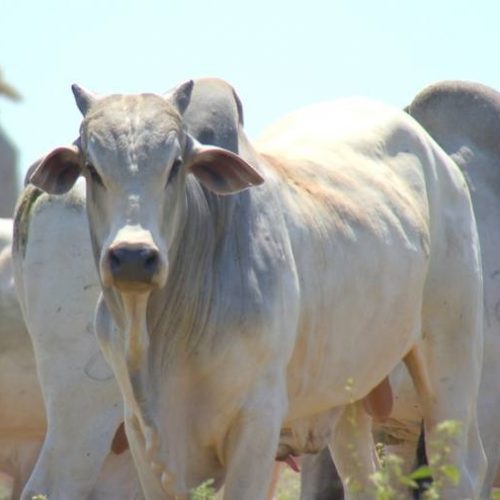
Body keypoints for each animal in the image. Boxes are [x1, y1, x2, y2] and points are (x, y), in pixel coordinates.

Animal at [27, 80, 484, 498]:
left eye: (175, 165)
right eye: (91, 168)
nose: (134, 256)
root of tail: (441, 159)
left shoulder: (258, 422)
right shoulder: (143, 435)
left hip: (451, 356)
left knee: (460, 465)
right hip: (347, 395)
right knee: (364, 480)